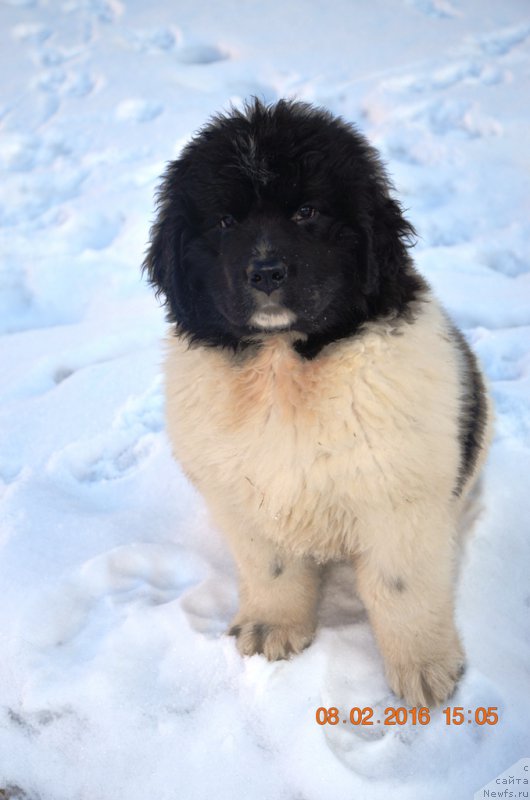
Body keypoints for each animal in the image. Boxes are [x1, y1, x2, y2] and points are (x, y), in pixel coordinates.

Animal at [142, 100, 488, 708]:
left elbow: (402, 589)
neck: (285, 367)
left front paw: (425, 669)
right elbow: (273, 569)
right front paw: (272, 629)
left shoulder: (398, 498)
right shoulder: (246, 497)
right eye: (225, 222)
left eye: (306, 212)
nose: (266, 271)